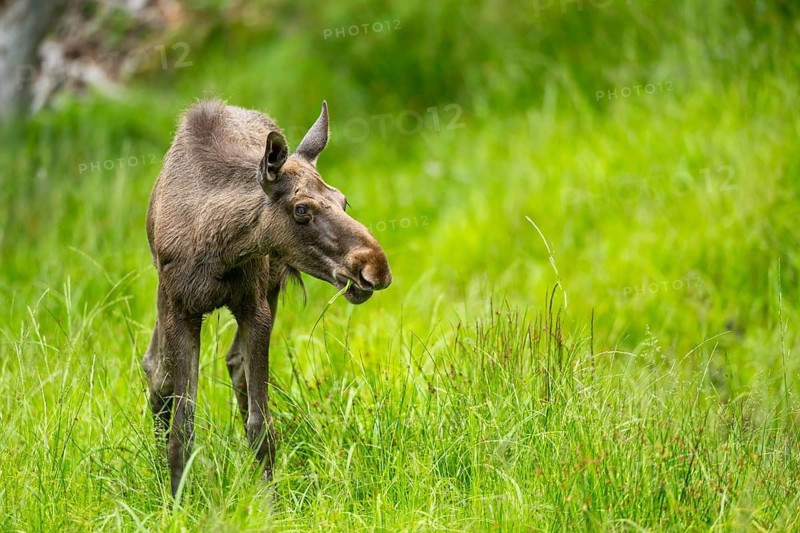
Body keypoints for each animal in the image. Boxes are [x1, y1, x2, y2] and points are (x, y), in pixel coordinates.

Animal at [142, 100, 392, 497]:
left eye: (343, 200)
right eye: (301, 209)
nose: (375, 267)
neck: (219, 247)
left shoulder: (254, 307)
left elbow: (261, 426)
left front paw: (269, 502)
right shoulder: (180, 309)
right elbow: (182, 426)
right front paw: (176, 500)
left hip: (269, 287)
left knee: (232, 363)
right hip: (164, 299)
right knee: (156, 369)